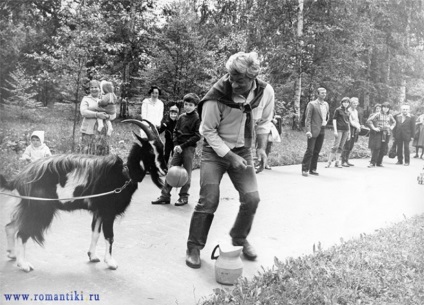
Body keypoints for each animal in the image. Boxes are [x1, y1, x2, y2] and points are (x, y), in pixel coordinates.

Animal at [0, 118, 167, 270]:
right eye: (150, 150)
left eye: (162, 148)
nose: (165, 170)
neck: (124, 175)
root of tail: (20, 178)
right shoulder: (108, 212)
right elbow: (109, 236)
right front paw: (111, 262)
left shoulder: (98, 211)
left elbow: (95, 233)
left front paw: (92, 256)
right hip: (39, 207)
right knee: (22, 232)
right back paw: (23, 264)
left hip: (29, 205)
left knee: (10, 227)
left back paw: (12, 254)